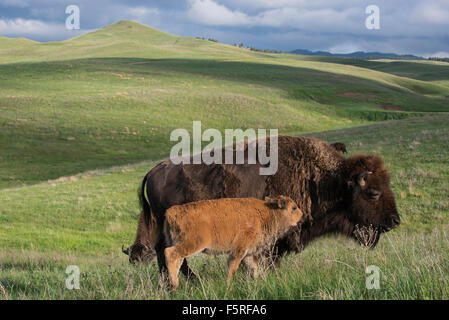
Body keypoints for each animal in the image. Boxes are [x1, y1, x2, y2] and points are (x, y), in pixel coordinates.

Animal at [161, 195, 300, 290]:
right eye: (293, 208)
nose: (302, 215)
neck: (267, 212)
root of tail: (171, 212)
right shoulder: (239, 250)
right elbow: (233, 268)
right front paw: (228, 286)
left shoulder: (248, 253)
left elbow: (254, 269)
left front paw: (256, 284)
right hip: (193, 244)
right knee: (169, 253)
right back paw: (174, 284)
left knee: (177, 260)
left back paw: (173, 285)